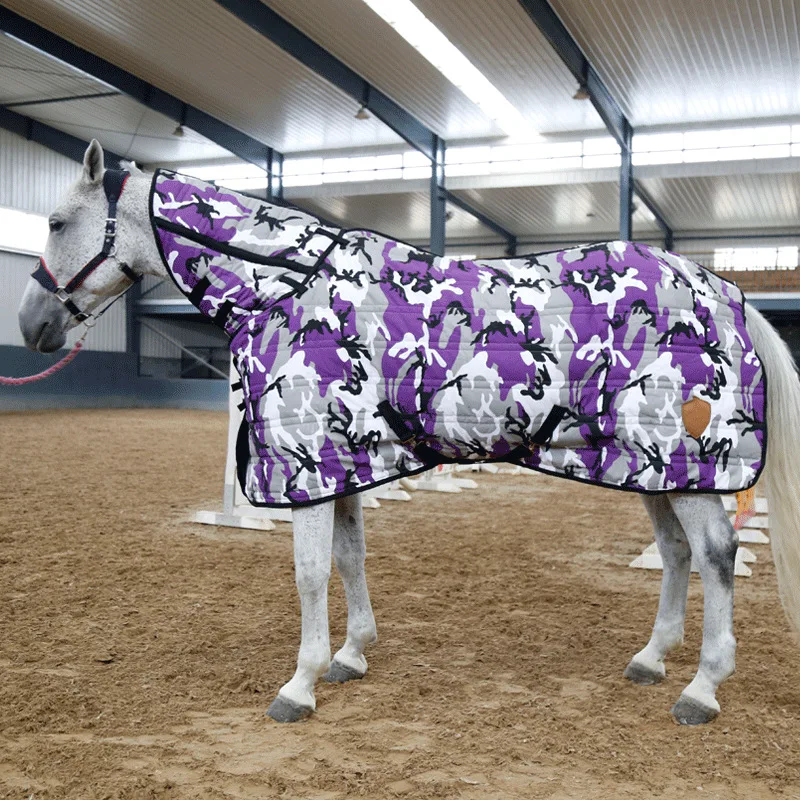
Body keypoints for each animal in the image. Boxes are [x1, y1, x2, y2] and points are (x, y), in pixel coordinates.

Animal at [16, 140, 800, 726]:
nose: (31, 326)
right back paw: (652, 658)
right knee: (677, 554)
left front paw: (299, 684)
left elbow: (309, 572)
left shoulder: (309, 467)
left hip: (686, 464)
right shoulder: (341, 464)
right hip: (651, 465)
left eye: (55, 222)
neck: (287, 283)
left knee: (716, 553)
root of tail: (724, 290)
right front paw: (351, 654)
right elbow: (350, 556)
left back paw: (702, 687)